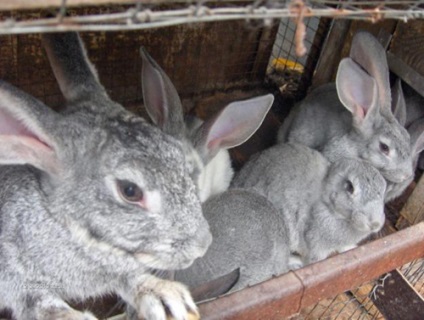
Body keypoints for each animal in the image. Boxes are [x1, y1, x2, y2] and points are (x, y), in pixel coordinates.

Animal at [0, 32, 214, 320]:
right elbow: (38, 302)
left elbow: (130, 278)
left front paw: (167, 297)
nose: (203, 245)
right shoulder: (12, 275)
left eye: (180, 158)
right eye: (130, 191)